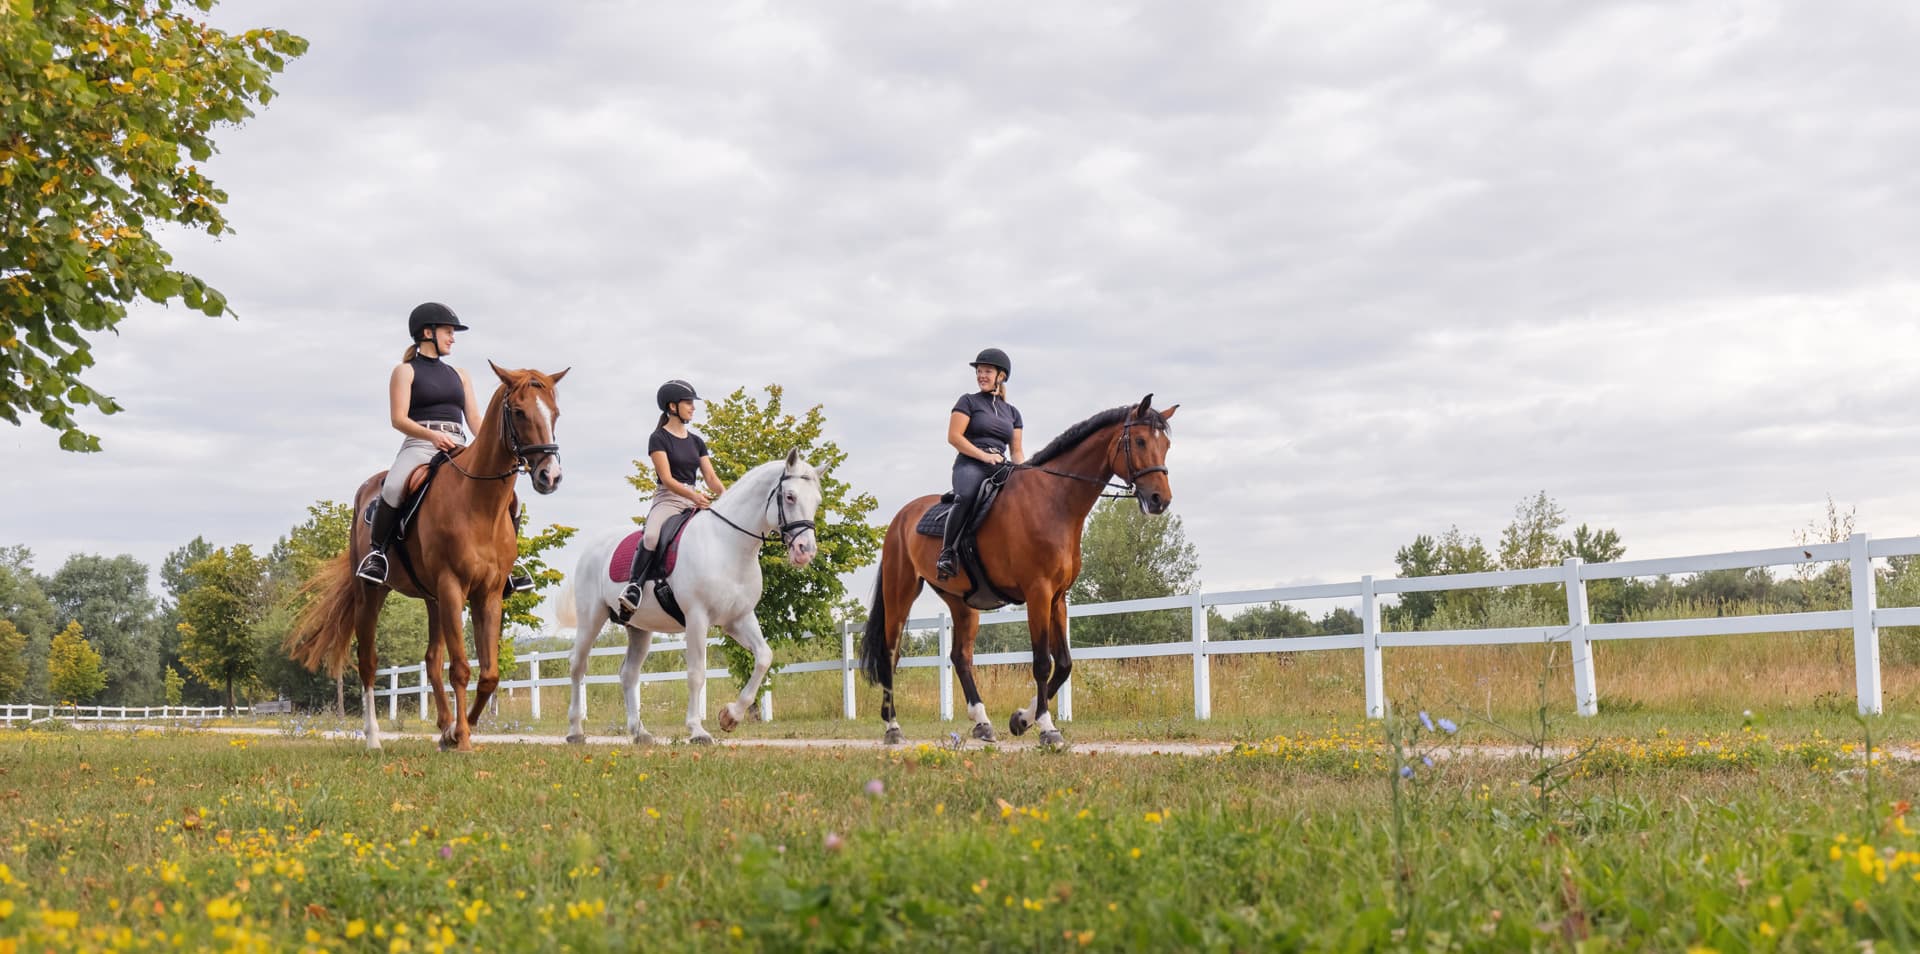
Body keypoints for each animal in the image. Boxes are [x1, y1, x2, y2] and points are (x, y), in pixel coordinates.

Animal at [287, 362, 567, 752]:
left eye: (555, 413)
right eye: (519, 412)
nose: (550, 476)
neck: (479, 503)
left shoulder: (488, 594)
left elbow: (489, 674)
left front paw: (458, 731)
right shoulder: (452, 586)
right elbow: (461, 668)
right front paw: (462, 738)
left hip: (433, 598)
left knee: (432, 660)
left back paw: (444, 728)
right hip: (372, 594)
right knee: (368, 662)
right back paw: (374, 739)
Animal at [554, 449, 823, 745]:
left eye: (817, 501)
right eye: (790, 497)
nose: (805, 551)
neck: (727, 544)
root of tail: (592, 547)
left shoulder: (738, 619)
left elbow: (764, 656)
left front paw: (730, 716)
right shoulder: (697, 618)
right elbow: (696, 673)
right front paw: (697, 730)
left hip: (639, 628)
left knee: (628, 674)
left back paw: (640, 732)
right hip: (592, 617)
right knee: (577, 665)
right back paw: (575, 730)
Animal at [859, 394, 1177, 749]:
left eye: (1165, 445)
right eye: (1140, 441)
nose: (1160, 499)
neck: (1054, 500)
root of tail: (901, 517)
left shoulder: (1057, 597)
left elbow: (1063, 664)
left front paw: (1022, 719)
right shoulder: (1038, 592)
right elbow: (1042, 662)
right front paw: (1046, 727)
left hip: (962, 602)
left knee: (960, 656)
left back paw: (982, 722)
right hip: (900, 594)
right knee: (890, 655)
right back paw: (893, 727)